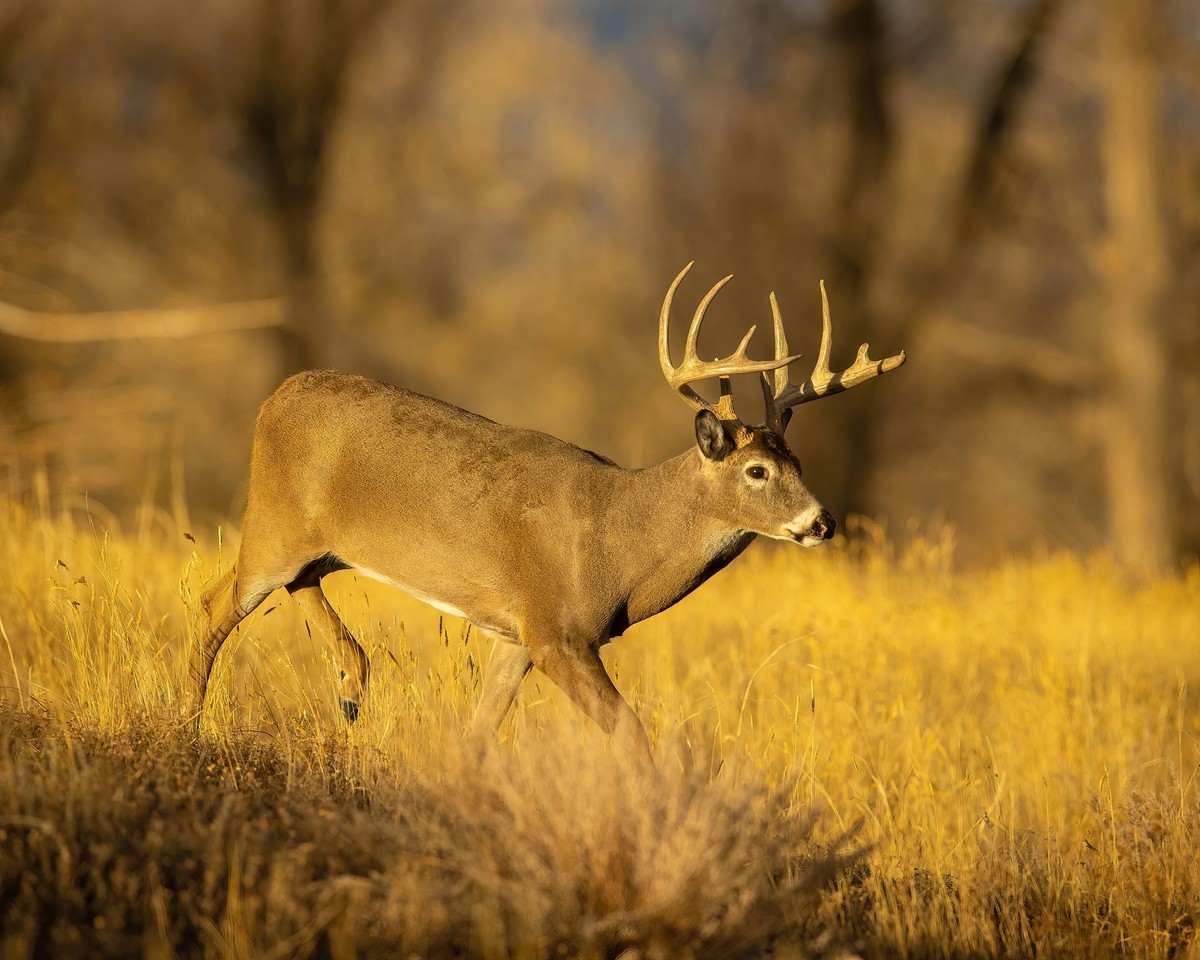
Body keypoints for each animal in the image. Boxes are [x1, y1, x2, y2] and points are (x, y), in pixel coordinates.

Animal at [186, 264, 905, 761]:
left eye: (799, 464)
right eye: (757, 471)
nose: (821, 522)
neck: (618, 544)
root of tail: (273, 398)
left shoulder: (515, 635)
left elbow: (478, 734)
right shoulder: (558, 631)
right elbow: (632, 736)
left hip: (316, 546)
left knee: (293, 586)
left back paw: (351, 683)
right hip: (272, 526)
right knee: (213, 604)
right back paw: (190, 726)